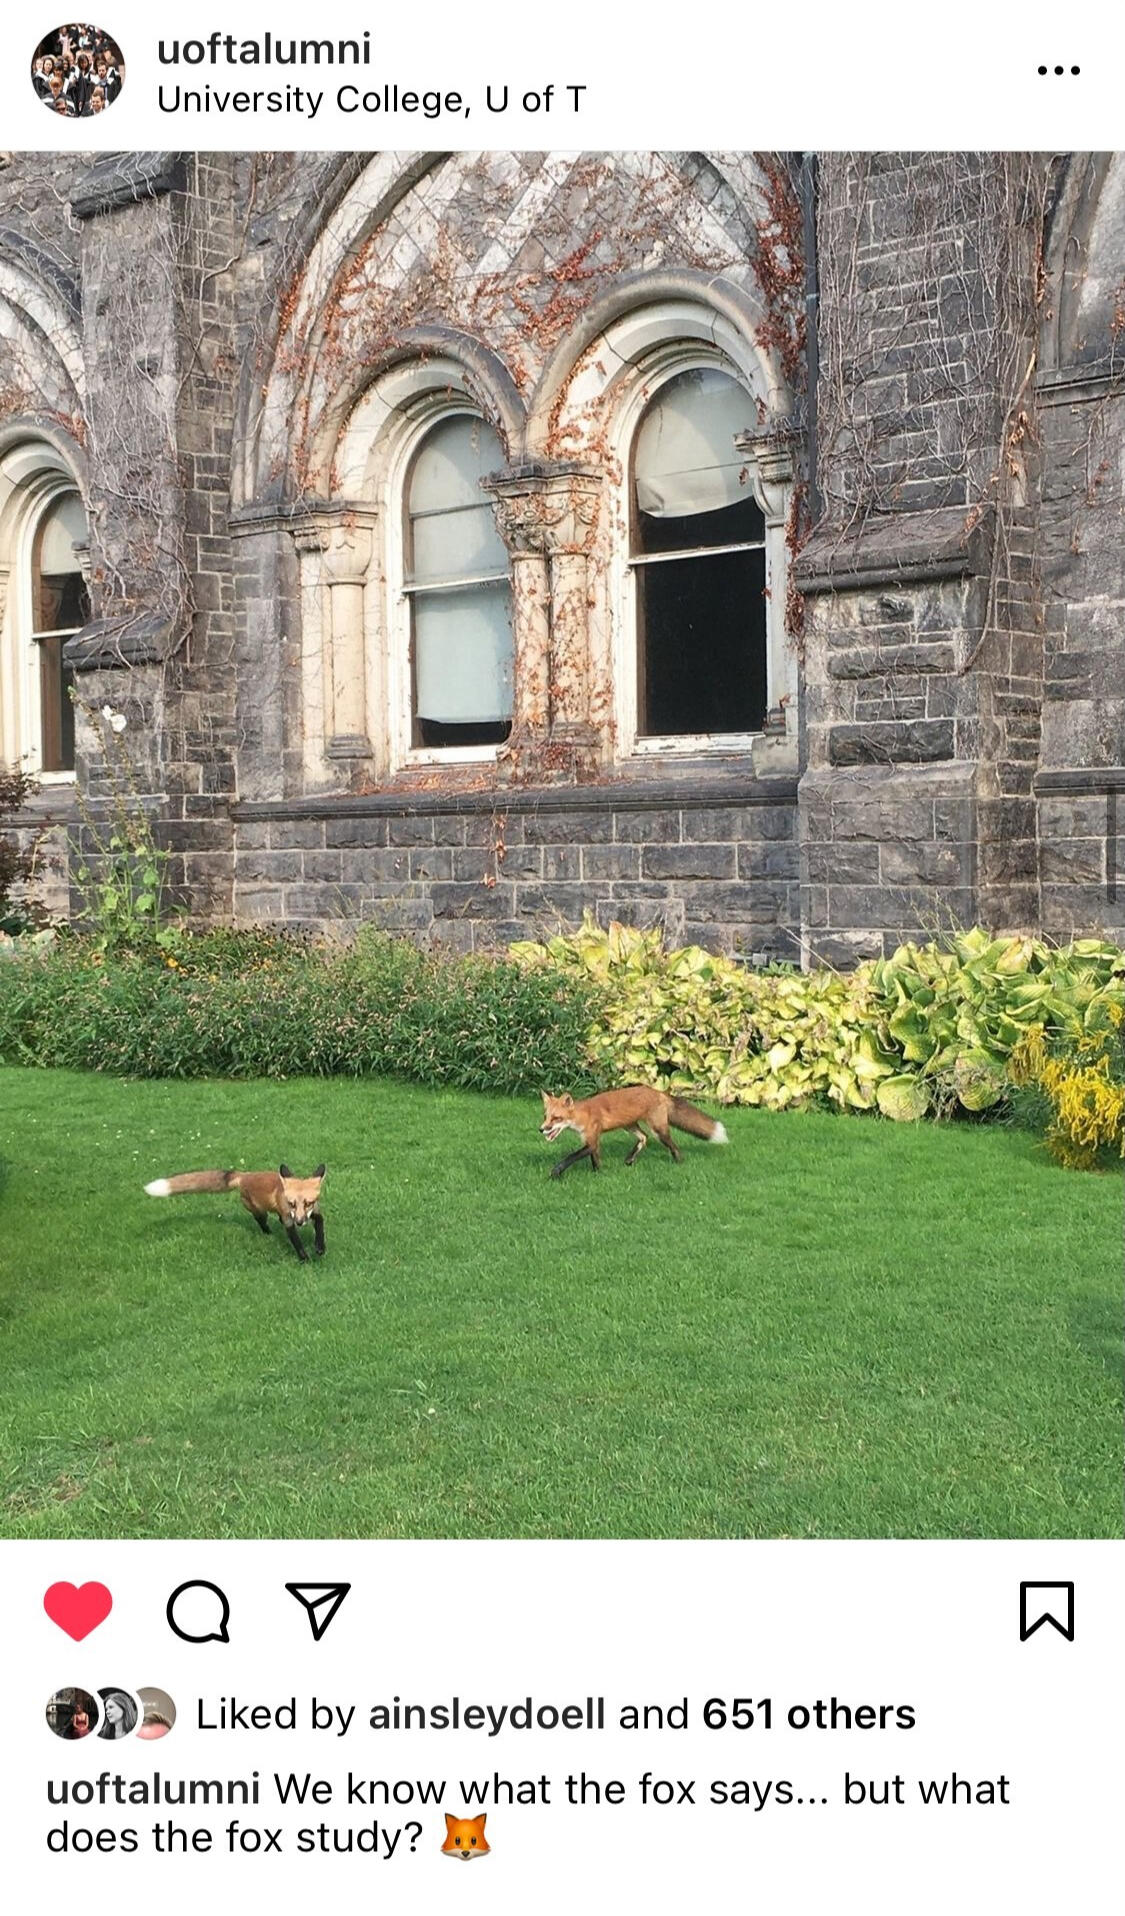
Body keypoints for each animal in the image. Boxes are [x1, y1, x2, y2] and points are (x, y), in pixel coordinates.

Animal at [143, 1164, 326, 1261]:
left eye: (308, 1203)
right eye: (291, 1204)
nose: (300, 1222)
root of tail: (244, 1175)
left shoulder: (315, 1212)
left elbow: (320, 1225)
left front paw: (319, 1247)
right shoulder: (289, 1219)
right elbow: (296, 1241)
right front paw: (304, 1258)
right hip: (259, 1211)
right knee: (261, 1220)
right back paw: (268, 1232)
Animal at [539, 1086, 728, 1177]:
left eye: (556, 1118)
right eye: (546, 1117)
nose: (541, 1129)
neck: (582, 1115)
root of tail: (659, 1092)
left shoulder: (592, 1140)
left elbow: (571, 1157)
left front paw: (556, 1171)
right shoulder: (591, 1141)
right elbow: (595, 1160)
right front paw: (598, 1173)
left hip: (658, 1130)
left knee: (673, 1146)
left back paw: (679, 1162)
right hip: (630, 1126)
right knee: (644, 1138)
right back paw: (630, 1159)